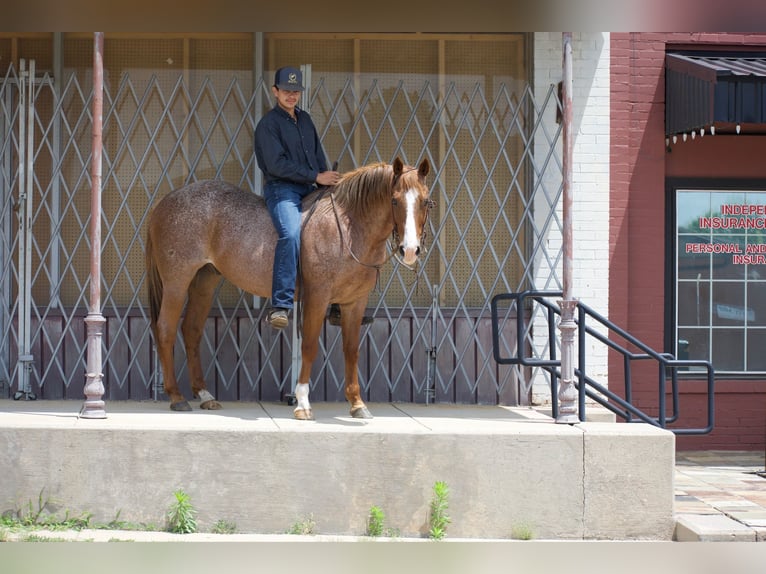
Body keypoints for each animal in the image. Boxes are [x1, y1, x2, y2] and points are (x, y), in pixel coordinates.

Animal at [145, 157, 433, 420]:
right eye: (394, 200)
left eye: (425, 201)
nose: (409, 250)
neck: (348, 228)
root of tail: (165, 201)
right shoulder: (317, 297)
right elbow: (310, 346)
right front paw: (302, 403)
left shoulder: (355, 302)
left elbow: (351, 350)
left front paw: (357, 404)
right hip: (177, 281)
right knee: (166, 329)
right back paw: (176, 396)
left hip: (204, 280)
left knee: (191, 330)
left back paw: (204, 395)